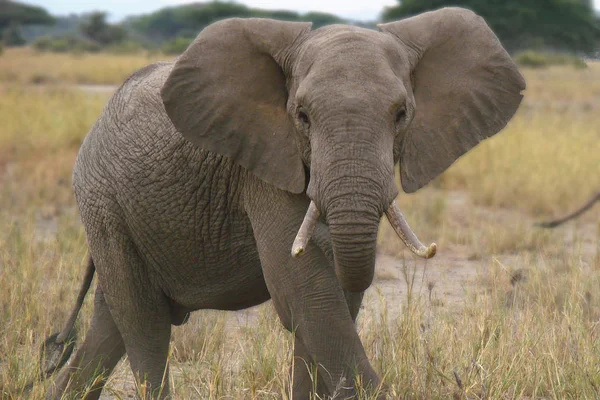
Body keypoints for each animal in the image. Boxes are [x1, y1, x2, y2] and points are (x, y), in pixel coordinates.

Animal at [42, 7, 524, 400]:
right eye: (302, 117)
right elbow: (305, 291)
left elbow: (325, 305)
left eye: (402, 114)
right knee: (145, 325)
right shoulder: (262, 166)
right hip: (103, 202)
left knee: (110, 325)